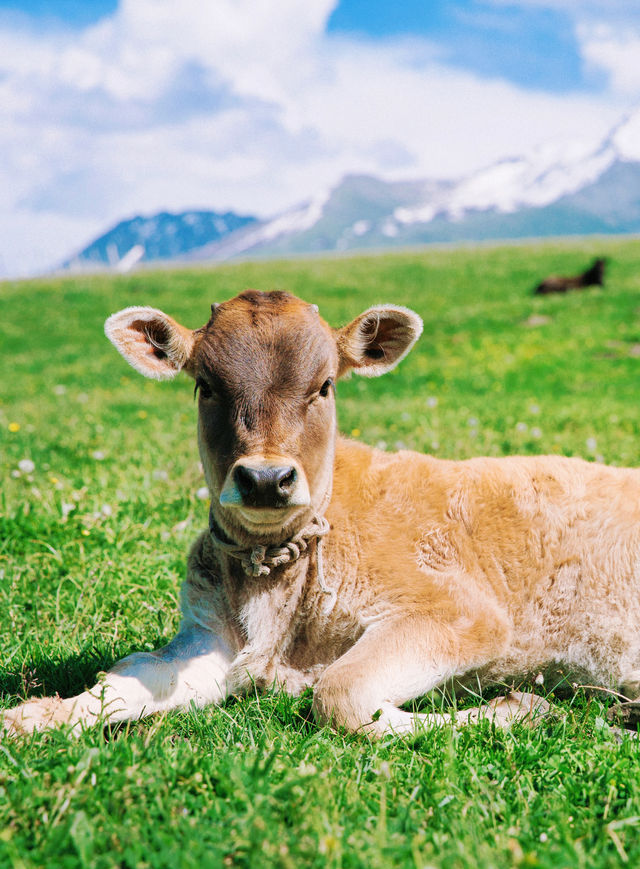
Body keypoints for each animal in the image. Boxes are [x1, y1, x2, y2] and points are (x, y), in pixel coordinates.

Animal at [3, 288, 640, 736]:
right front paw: (31, 718)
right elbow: (125, 678)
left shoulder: (463, 611)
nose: (265, 479)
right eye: (206, 385)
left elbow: (340, 694)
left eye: (325, 385)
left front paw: (520, 708)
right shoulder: (208, 641)